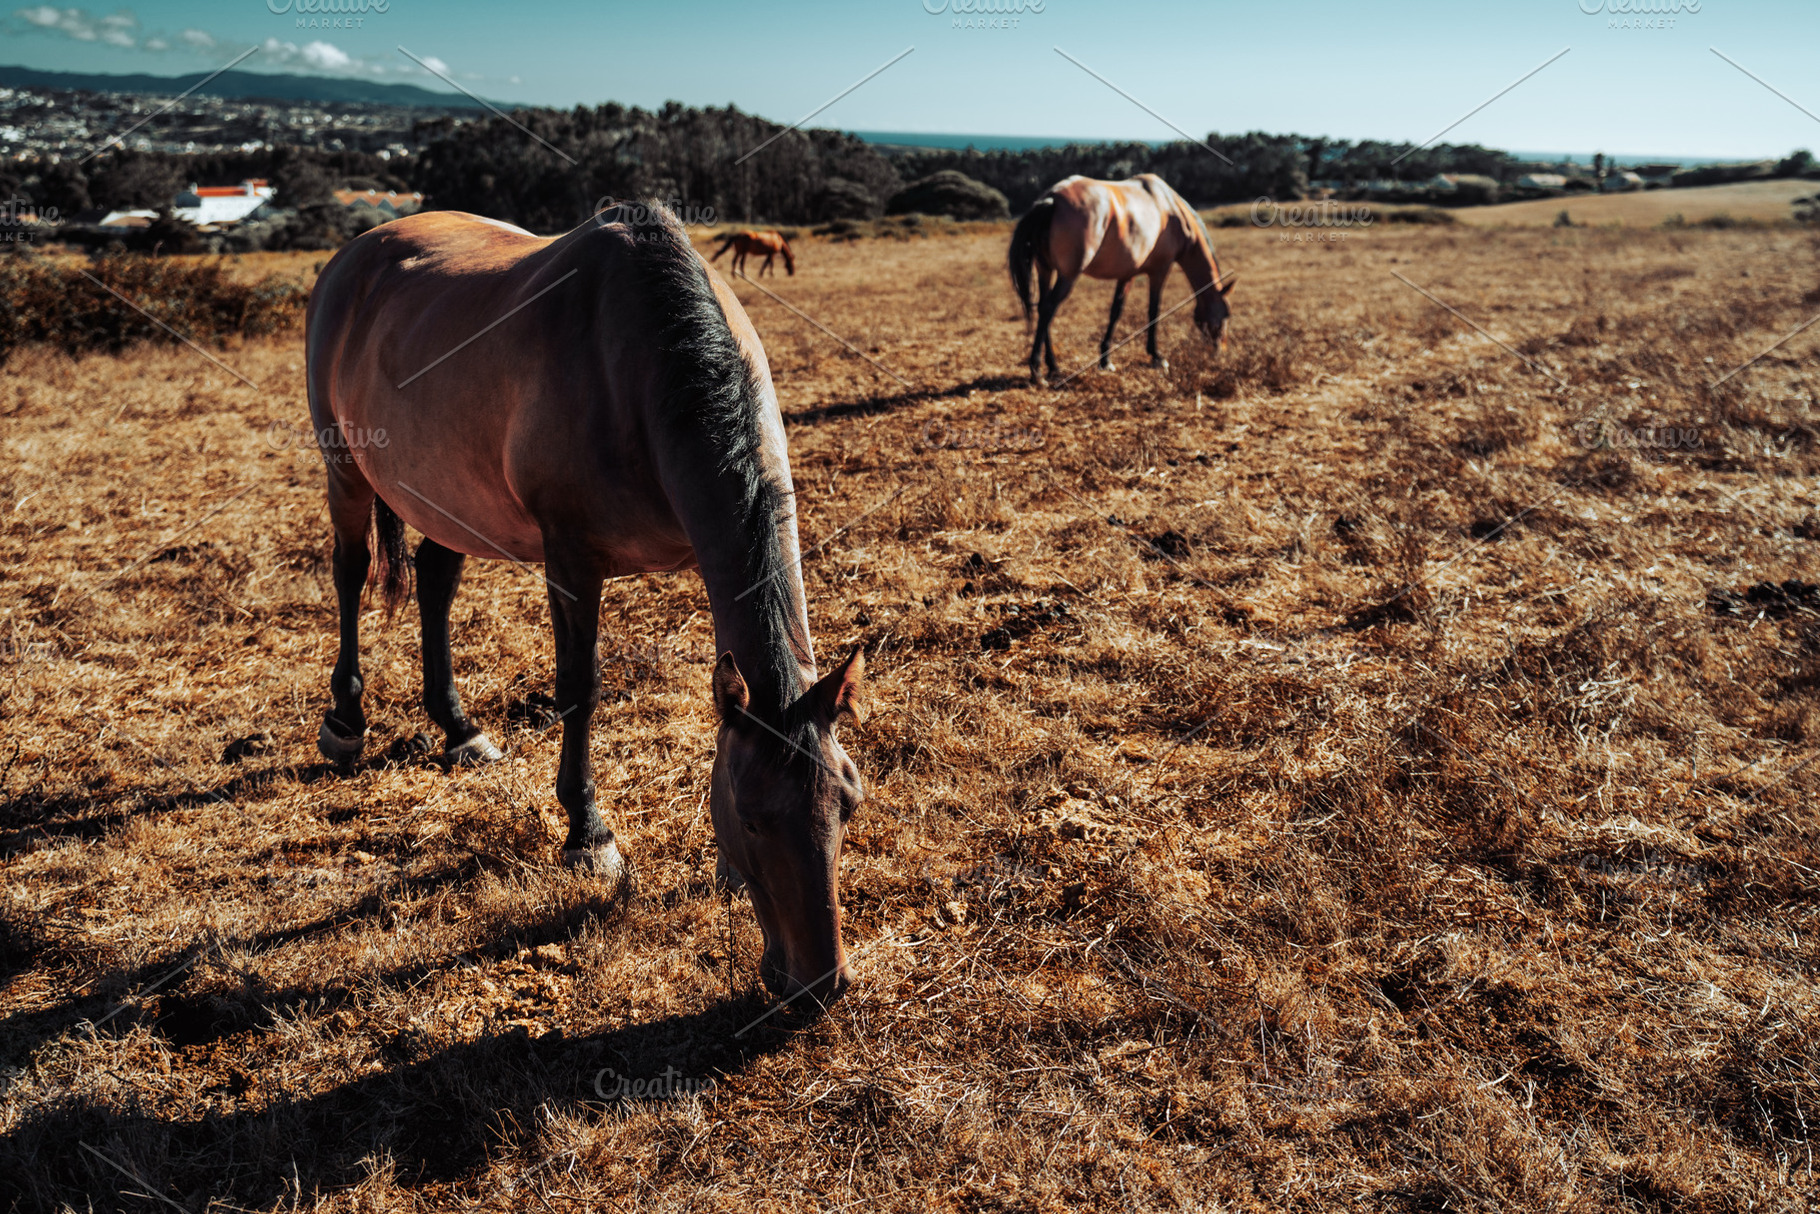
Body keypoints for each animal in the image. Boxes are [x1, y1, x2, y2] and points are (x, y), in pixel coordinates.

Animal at [304, 204, 865, 1008]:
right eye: (755, 819)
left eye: (847, 804)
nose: (819, 985)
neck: (639, 368)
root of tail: (357, 253)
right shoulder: (572, 561)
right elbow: (581, 689)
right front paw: (588, 833)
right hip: (345, 464)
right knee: (350, 575)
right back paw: (346, 721)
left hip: (450, 496)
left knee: (437, 582)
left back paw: (458, 728)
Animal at [1008, 173, 1234, 382]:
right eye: (1225, 315)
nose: (1220, 351)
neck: (1170, 208)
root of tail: (1052, 199)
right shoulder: (1160, 270)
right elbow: (1154, 311)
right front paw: (1156, 356)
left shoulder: (1127, 274)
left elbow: (1116, 312)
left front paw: (1105, 360)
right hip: (1067, 276)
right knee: (1048, 309)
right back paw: (1037, 370)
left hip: (1045, 270)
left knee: (1042, 308)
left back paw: (1053, 367)